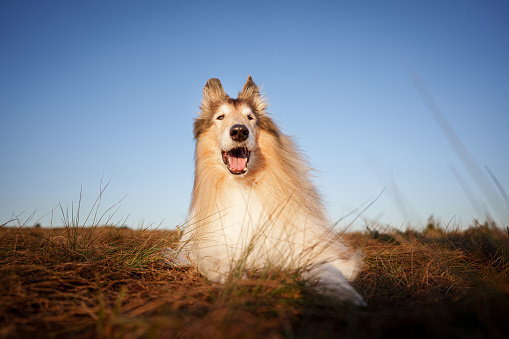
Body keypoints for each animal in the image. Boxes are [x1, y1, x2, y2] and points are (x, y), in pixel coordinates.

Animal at [175, 77, 366, 306]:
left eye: (250, 118)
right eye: (220, 117)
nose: (239, 131)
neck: (243, 186)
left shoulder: (310, 246)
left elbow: (326, 268)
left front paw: (345, 293)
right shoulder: (203, 247)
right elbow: (213, 260)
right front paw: (234, 278)